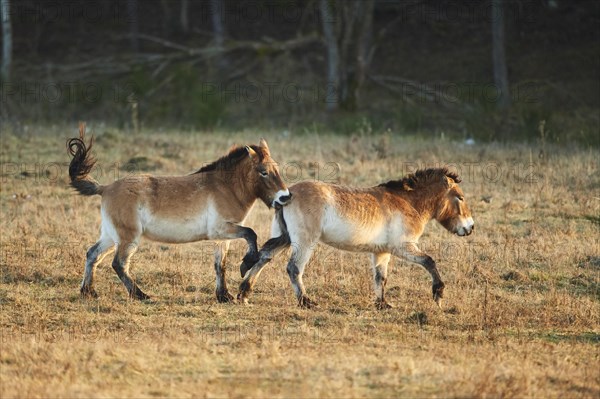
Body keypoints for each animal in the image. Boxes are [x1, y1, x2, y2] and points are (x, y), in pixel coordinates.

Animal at [67, 125, 292, 304]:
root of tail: (105, 188)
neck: (225, 187)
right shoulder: (222, 229)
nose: (285, 197)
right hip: (128, 238)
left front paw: (224, 296)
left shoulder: (222, 237)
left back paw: (88, 292)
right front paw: (246, 264)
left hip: (110, 236)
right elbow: (251, 234)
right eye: (263, 171)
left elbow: (220, 265)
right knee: (119, 264)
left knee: (92, 254)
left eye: (276, 169)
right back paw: (140, 295)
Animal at [238, 168, 474, 310]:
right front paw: (438, 294)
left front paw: (382, 304)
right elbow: (429, 261)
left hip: (284, 238)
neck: (408, 202)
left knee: (264, 258)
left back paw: (244, 294)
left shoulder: (382, 252)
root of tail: (286, 195)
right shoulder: (403, 247)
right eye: (460, 197)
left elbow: (381, 277)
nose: (470, 227)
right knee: (294, 268)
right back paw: (306, 301)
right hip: (304, 242)